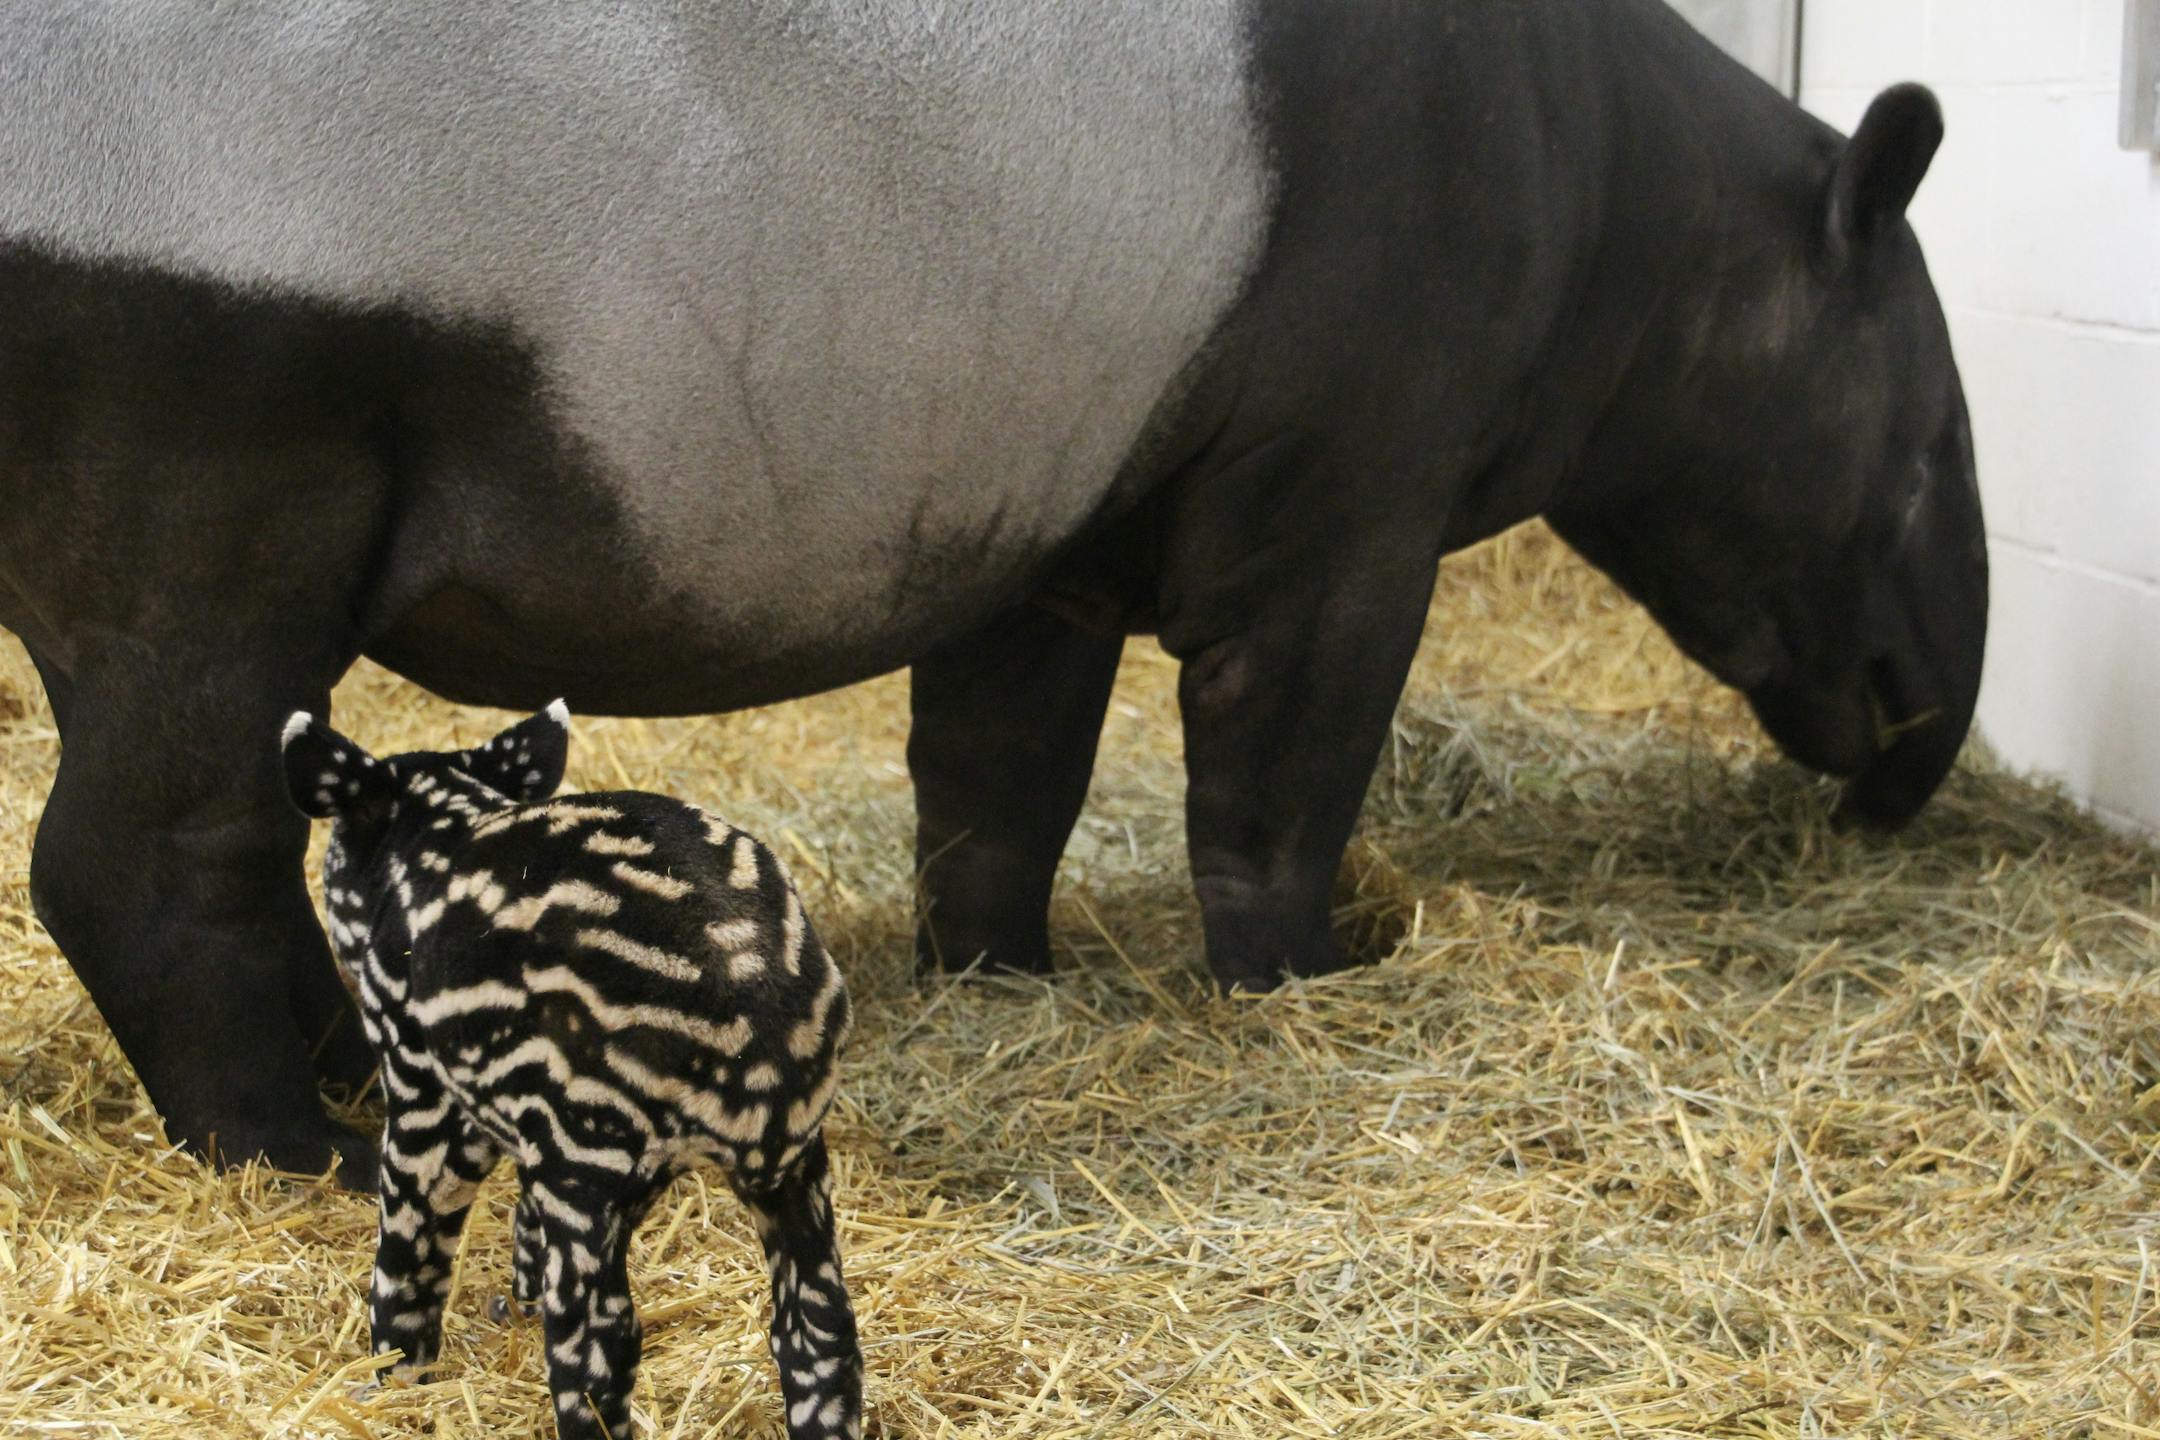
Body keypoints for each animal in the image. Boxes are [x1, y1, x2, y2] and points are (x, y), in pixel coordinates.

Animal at [0, 0, 1987, 1187]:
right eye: (1924, 457)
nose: (1908, 759)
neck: (1624, 211)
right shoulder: (1343, 463)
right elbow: (1284, 739)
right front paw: (1300, 979)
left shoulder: (1048, 484)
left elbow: (999, 762)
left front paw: (998, 977)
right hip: (214, 412)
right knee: (151, 834)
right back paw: (296, 1148)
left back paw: (358, 1073)